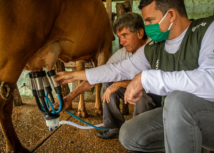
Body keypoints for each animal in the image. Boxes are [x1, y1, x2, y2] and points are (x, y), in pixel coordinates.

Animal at [0, 0, 113, 152]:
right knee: (4, 105)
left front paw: (82, 109)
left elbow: (84, 79)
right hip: (14, 56)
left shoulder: (82, 53)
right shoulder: (105, 46)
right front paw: (97, 108)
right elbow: (96, 82)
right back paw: (16, 148)